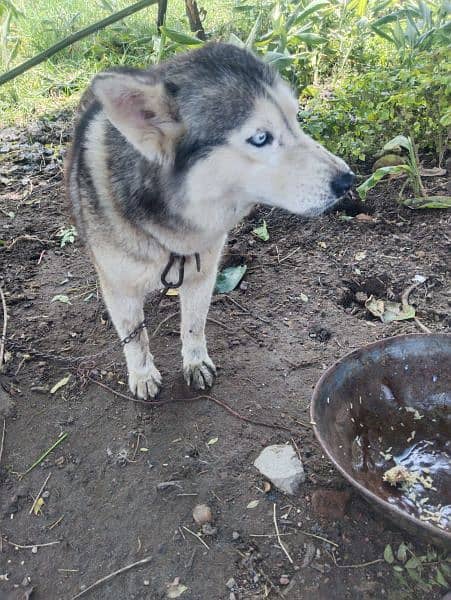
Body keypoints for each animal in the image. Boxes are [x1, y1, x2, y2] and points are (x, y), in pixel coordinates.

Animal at [66, 42, 356, 398]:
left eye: (295, 118)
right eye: (261, 138)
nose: (348, 180)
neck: (168, 230)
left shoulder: (203, 271)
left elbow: (194, 324)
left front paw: (194, 362)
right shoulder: (121, 286)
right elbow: (135, 338)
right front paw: (142, 373)